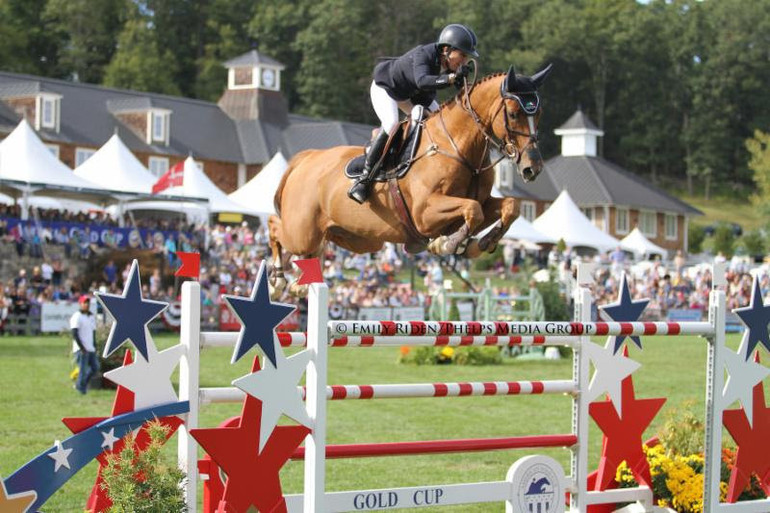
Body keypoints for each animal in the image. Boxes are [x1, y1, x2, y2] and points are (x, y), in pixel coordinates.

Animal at [269, 64, 552, 296]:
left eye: (538, 114)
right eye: (513, 114)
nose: (533, 168)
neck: (458, 146)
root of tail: (305, 159)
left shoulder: (482, 201)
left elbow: (509, 207)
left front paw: (479, 244)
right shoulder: (424, 214)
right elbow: (472, 211)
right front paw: (448, 244)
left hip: (353, 238)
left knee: (307, 250)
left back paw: (296, 283)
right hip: (302, 231)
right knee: (275, 228)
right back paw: (277, 280)